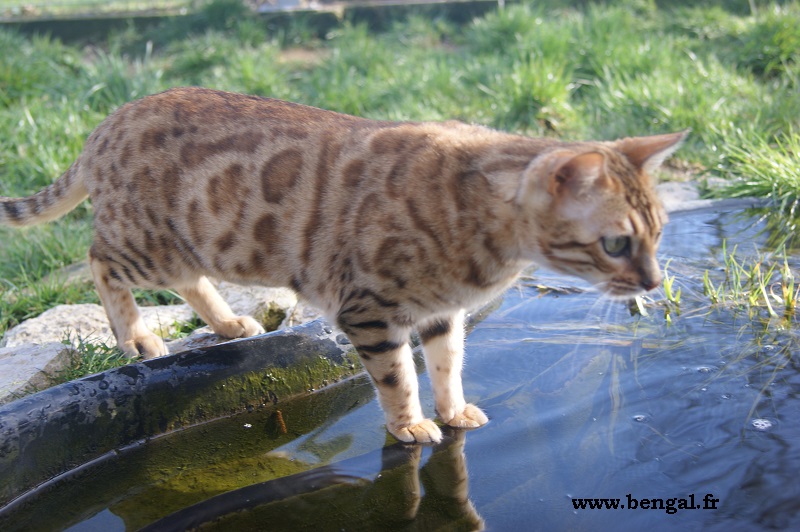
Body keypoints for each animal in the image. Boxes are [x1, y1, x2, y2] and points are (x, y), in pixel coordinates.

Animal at [1, 87, 686, 443]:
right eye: (617, 244)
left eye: (658, 233)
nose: (655, 280)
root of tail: (107, 122)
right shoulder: (372, 311)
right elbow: (399, 378)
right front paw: (411, 426)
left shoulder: (441, 313)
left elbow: (447, 365)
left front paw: (453, 411)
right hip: (151, 243)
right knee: (98, 259)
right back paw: (138, 337)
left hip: (193, 248)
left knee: (189, 281)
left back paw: (229, 325)